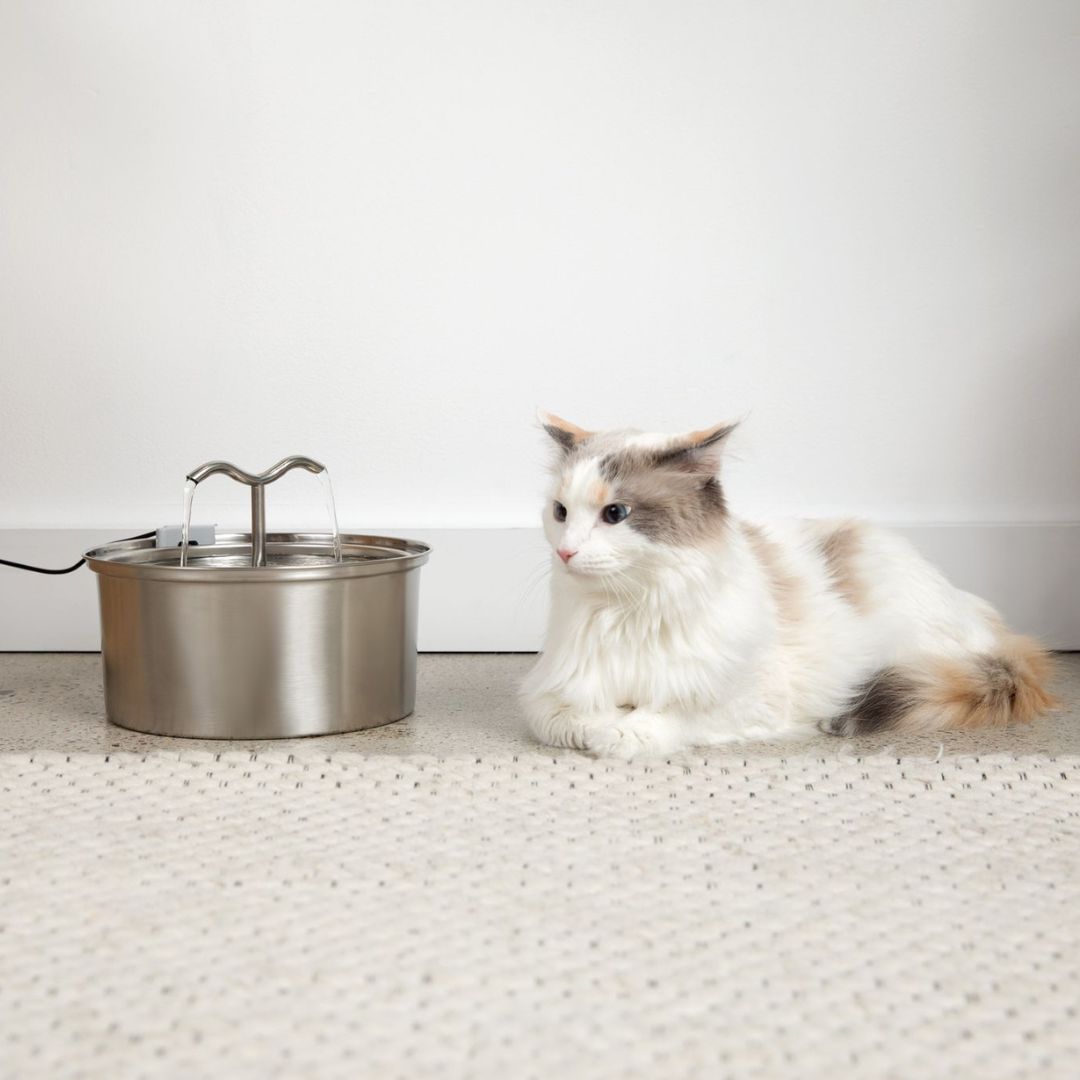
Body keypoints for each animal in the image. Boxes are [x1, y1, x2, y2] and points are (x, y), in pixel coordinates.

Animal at [520, 413, 1055, 758]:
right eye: (561, 512)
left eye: (615, 513)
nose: (565, 551)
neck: (625, 611)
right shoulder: (548, 692)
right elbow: (564, 718)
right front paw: (597, 726)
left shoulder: (747, 700)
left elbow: (665, 716)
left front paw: (618, 733)